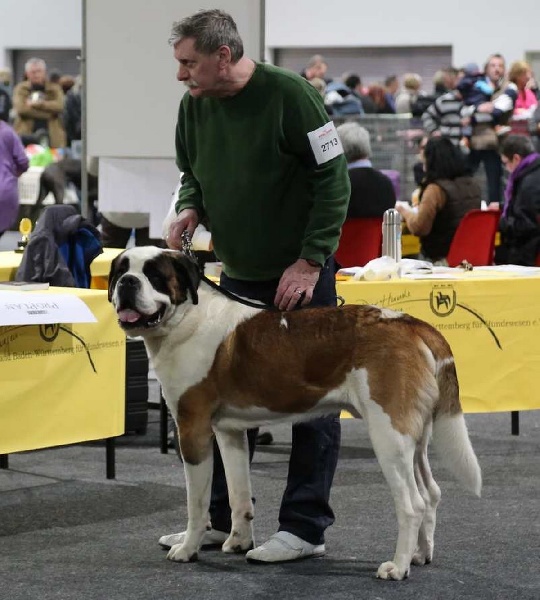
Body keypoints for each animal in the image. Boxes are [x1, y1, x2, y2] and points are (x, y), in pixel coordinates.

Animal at [108, 246, 480, 580]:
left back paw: (397, 567)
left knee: (412, 504)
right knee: (431, 493)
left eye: (155, 275)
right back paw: (421, 554)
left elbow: (196, 503)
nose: (127, 282)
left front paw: (187, 548)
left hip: (388, 435)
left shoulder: (193, 428)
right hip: (413, 437)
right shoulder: (229, 432)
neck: (187, 317)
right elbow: (239, 493)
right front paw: (238, 542)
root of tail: (413, 325)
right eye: (120, 270)